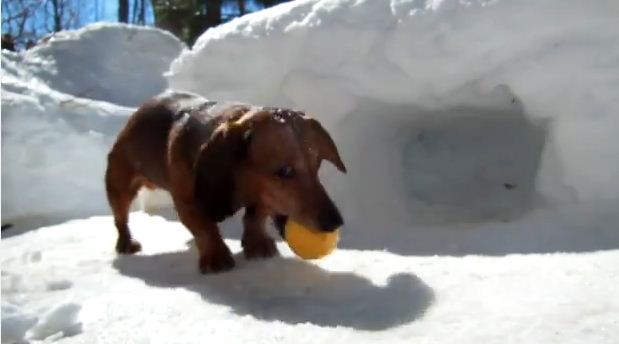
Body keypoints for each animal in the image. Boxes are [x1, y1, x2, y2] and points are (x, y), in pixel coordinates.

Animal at [107, 90, 348, 272]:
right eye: (285, 171)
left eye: (317, 165)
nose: (335, 222)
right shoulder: (188, 202)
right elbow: (204, 227)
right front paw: (216, 256)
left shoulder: (260, 198)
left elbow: (255, 217)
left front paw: (257, 244)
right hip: (119, 184)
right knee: (120, 219)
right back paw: (126, 243)